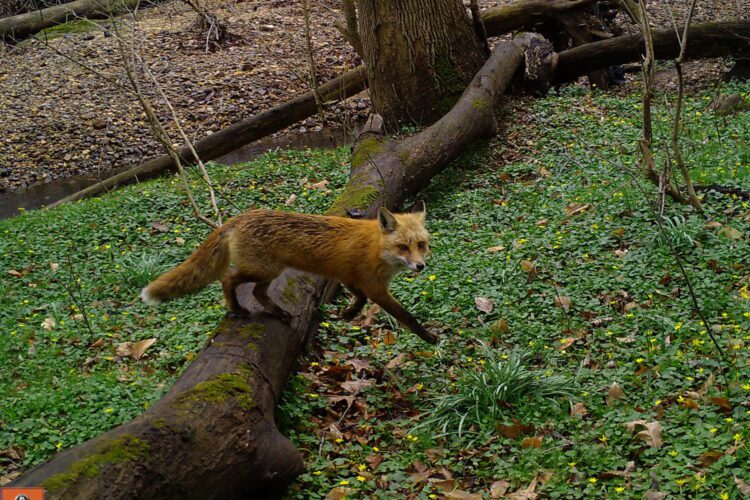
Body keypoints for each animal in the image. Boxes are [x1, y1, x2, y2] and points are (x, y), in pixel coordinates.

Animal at [140, 202, 438, 344]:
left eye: (421, 245)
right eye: (403, 247)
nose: (420, 266)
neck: (376, 248)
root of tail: (239, 218)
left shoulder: (349, 277)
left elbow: (359, 299)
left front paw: (348, 314)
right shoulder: (375, 287)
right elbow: (407, 317)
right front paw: (429, 338)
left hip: (269, 273)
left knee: (258, 293)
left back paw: (278, 313)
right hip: (262, 269)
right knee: (227, 279)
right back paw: (236, 308)